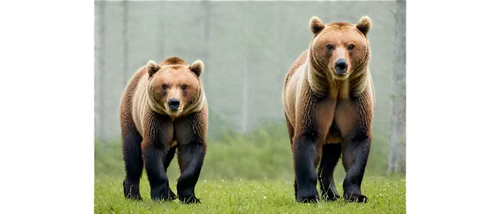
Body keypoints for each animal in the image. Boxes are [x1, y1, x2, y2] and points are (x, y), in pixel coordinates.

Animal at [119, 56, 207, 203]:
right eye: (164, 85)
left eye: (184, 86)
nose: (174, 102)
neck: (174, 116)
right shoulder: (157, 117)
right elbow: (154, 147)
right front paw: (161, 195)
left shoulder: (191, 117)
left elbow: (191, 148)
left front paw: (189, 197)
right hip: (131, 114)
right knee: (132, 152)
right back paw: (133, 194)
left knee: (166, 157)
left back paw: (170, 194)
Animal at [282, 15, 376, 203]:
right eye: (329, 46)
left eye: (351, 46)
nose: (341, 64)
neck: (338, 89)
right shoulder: (314, 101)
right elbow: (307, 140)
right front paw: (308, 196)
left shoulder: (356, 103)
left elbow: (356, 142)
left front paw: (356, 195)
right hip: (290, 112)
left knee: (331, 156)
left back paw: (332, 193)